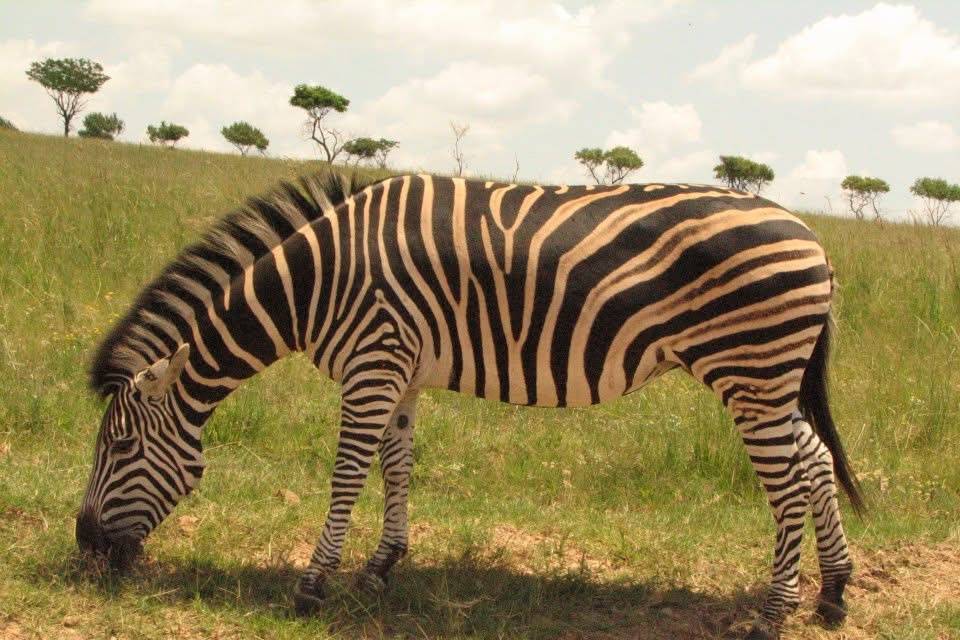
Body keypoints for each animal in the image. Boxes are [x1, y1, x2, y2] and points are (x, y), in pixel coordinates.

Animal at [78, 172, 863, 640]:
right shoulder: (398, 372)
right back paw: (833, 594)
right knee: (816, 461)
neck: (315, 284)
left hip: (749, 371)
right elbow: (396, 466)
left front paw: (312, 585)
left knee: (788, 483)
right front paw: (381, 565)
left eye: (120, 447)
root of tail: (814, 239)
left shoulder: (372, 362)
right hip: (769, 377)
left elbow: (346, 475)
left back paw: (774, 613)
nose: (85, 548)